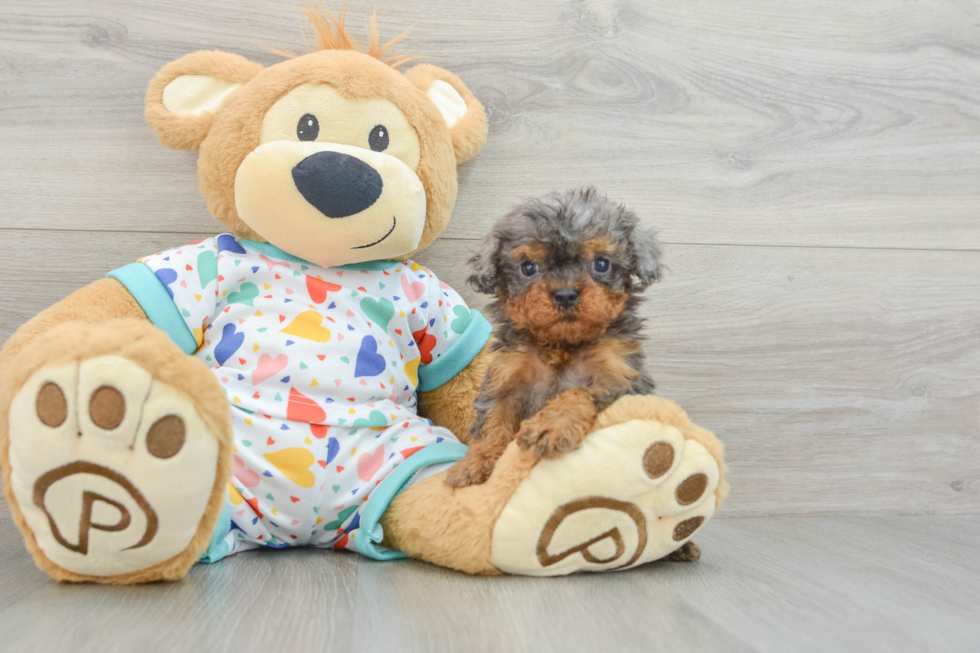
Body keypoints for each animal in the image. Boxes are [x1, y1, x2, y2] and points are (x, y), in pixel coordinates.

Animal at [446, 186, 668, 486]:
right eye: (528, 267)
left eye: (601, 264)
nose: (565, 295)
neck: (562, 343)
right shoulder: (506, 380)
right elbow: (493, 423)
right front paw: (474, 463)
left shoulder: (622, 380)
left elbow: (578, 392)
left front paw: (550, 425)